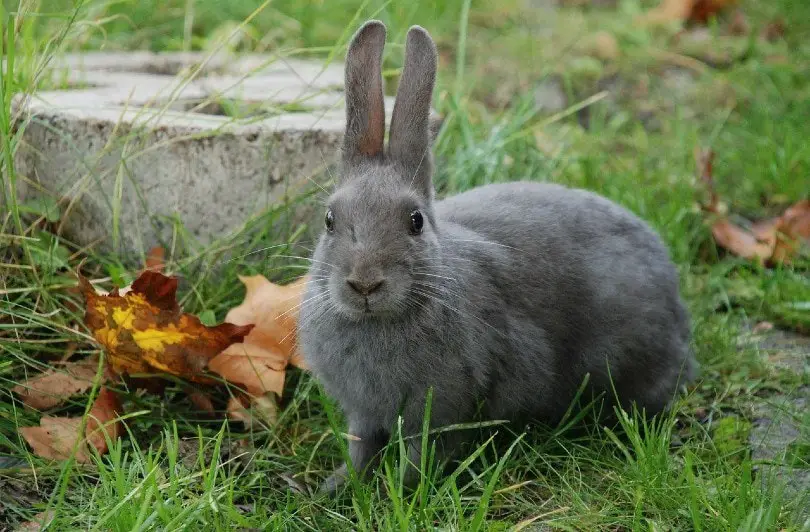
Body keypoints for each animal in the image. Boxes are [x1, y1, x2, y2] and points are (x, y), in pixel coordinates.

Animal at [296, 20, 696, 494]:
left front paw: (402, 490)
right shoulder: (363, 413)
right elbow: (361, 449)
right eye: (329, 219)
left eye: (415, 221)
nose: (364, 283)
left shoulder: (441, 409)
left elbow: (420, 456)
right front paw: (337, 487)